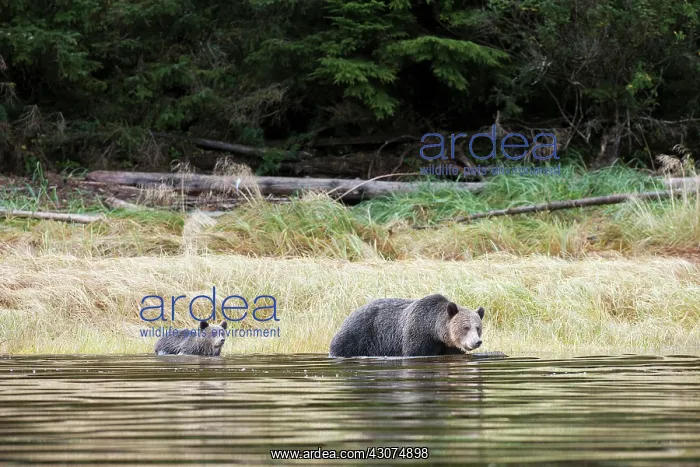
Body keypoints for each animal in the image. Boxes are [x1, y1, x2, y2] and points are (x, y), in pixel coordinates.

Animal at [328, 294, 485, 357]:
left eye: (478, 328)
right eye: (466, 327)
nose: (477, 342)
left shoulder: (447, 346)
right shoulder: (417, 334)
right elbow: (414, 351)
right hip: (356, 336)